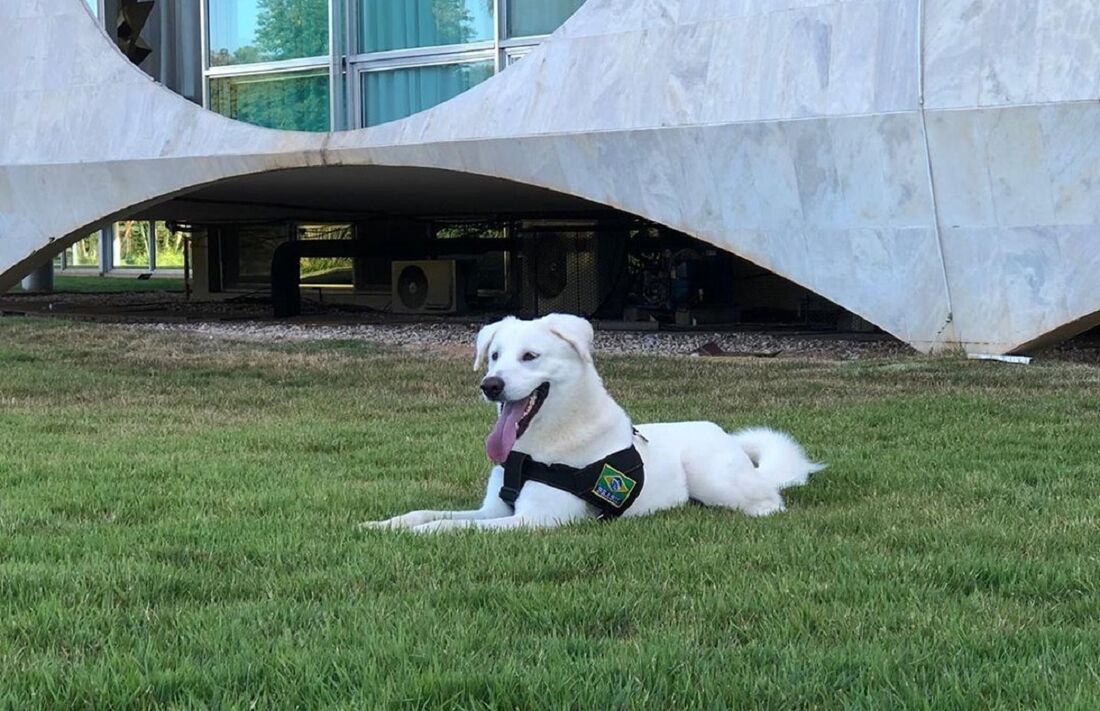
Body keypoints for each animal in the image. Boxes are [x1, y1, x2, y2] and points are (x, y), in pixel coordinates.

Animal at [363, 312, 827, 534]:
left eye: (530, 356)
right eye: (494, 356)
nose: (490, 385)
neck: (534, 450)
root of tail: (722, 433)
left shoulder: (534, 521)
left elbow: (448, 526)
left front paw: (420, 534)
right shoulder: (493, 509)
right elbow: (425, 512)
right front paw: (385, 524)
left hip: (716, 482)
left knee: (770, 500)